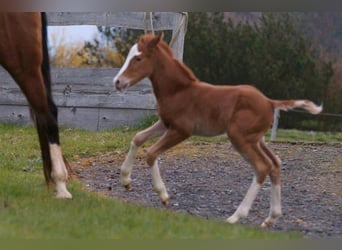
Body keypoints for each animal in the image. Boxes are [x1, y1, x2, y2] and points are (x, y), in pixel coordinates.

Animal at [113, 33, 322, 229]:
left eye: (138, 58)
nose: (117, 82)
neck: (178, 91)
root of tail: (270, 102)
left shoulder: (182, 130)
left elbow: (151, 153)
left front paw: (163, 195)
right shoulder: (165, 124)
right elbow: (138, 138)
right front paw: (125, 180)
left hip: (239, 137)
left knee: (262, 167)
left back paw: (236, 217)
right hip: (256, 139)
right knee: (275, 164)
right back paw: (271, 218)